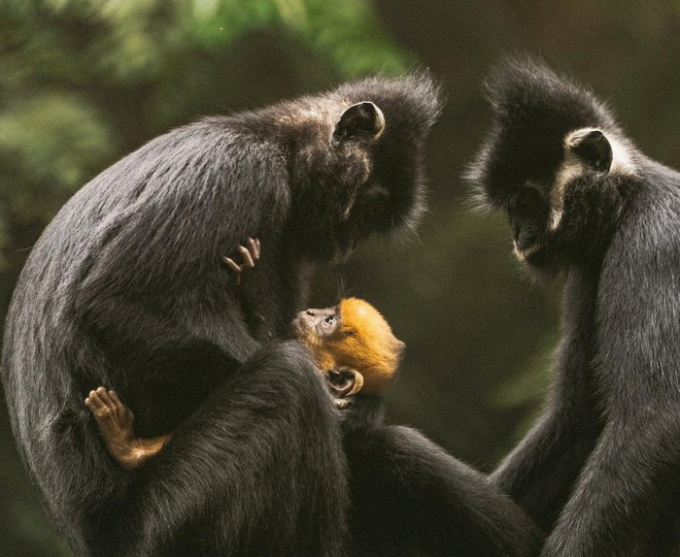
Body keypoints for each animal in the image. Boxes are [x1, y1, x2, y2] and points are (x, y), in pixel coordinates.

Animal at [468, 58, 680, 552]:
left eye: (525, 201)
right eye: (510, 211)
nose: (518, 233)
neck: (628, 197)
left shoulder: (654, 239)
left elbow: (655, 421)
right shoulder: (589, 269)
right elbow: (577, 419)